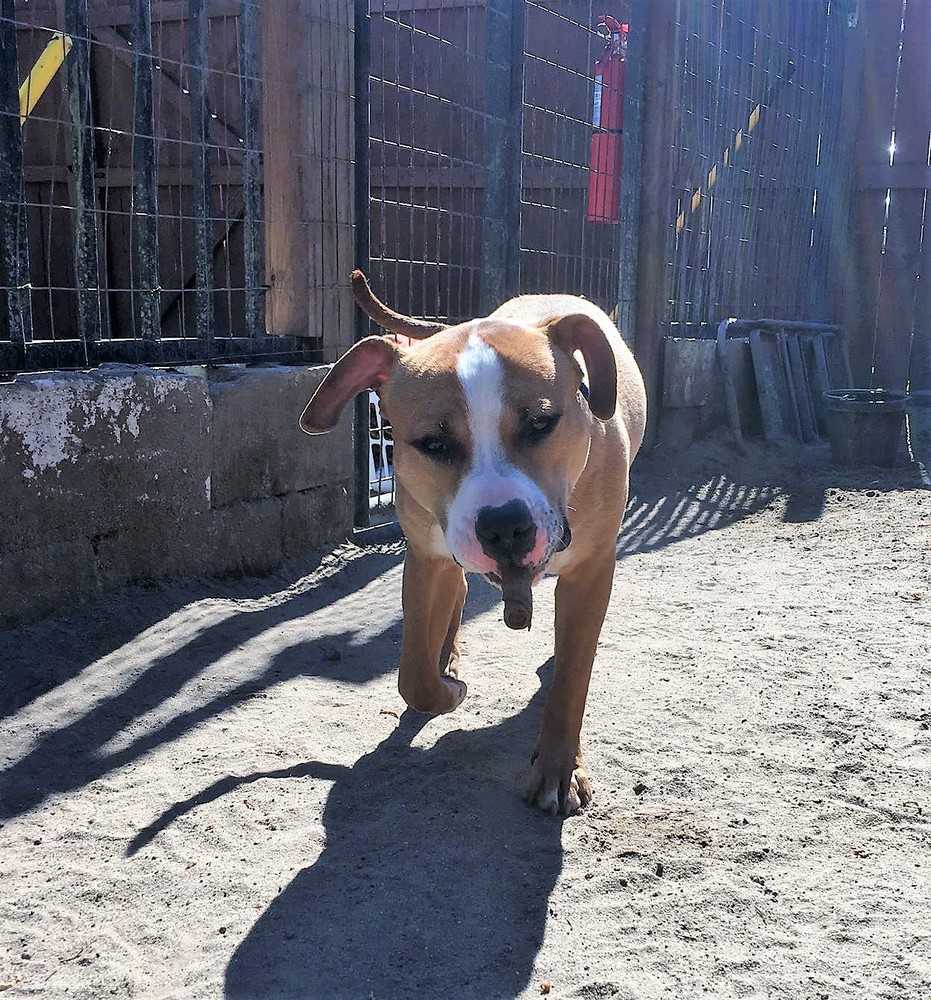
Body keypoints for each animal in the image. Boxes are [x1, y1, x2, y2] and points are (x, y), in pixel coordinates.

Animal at [302, 272, 644, 812]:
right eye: (434, 444)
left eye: (541, 423)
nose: (504, 526)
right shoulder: (426, 558)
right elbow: (414, 677)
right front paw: (448, 688)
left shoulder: (591, 571)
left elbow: (572, 678)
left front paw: (559, 770)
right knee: (457, 596)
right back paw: (448, 657)